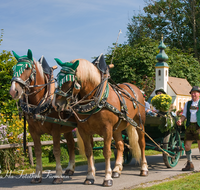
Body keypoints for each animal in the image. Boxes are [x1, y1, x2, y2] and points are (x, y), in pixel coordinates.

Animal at [9, 49, 77, 184]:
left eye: (27, 68)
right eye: (13, 68)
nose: (13, 91)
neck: (39, 104)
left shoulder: (55, 129)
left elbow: (56, 151)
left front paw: (58, 176)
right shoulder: (33, 131)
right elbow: (38, 151)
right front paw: (37, 175)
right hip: (67, 129)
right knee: (71, 145)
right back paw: (70, 169)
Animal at [52, 57, 148, 186]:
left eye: (68, 81)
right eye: (58, 79)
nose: (57, 105)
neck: (97, 98)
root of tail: (135, 89)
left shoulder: (107, 129)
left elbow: (106, 152)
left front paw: (107, 178)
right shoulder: (84, 130)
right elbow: (89, 152)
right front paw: (89, 177)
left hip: (140, 123)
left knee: (141, 144)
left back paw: (144, 169)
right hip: (117, 128)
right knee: (120, 145)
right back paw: (117, 170)